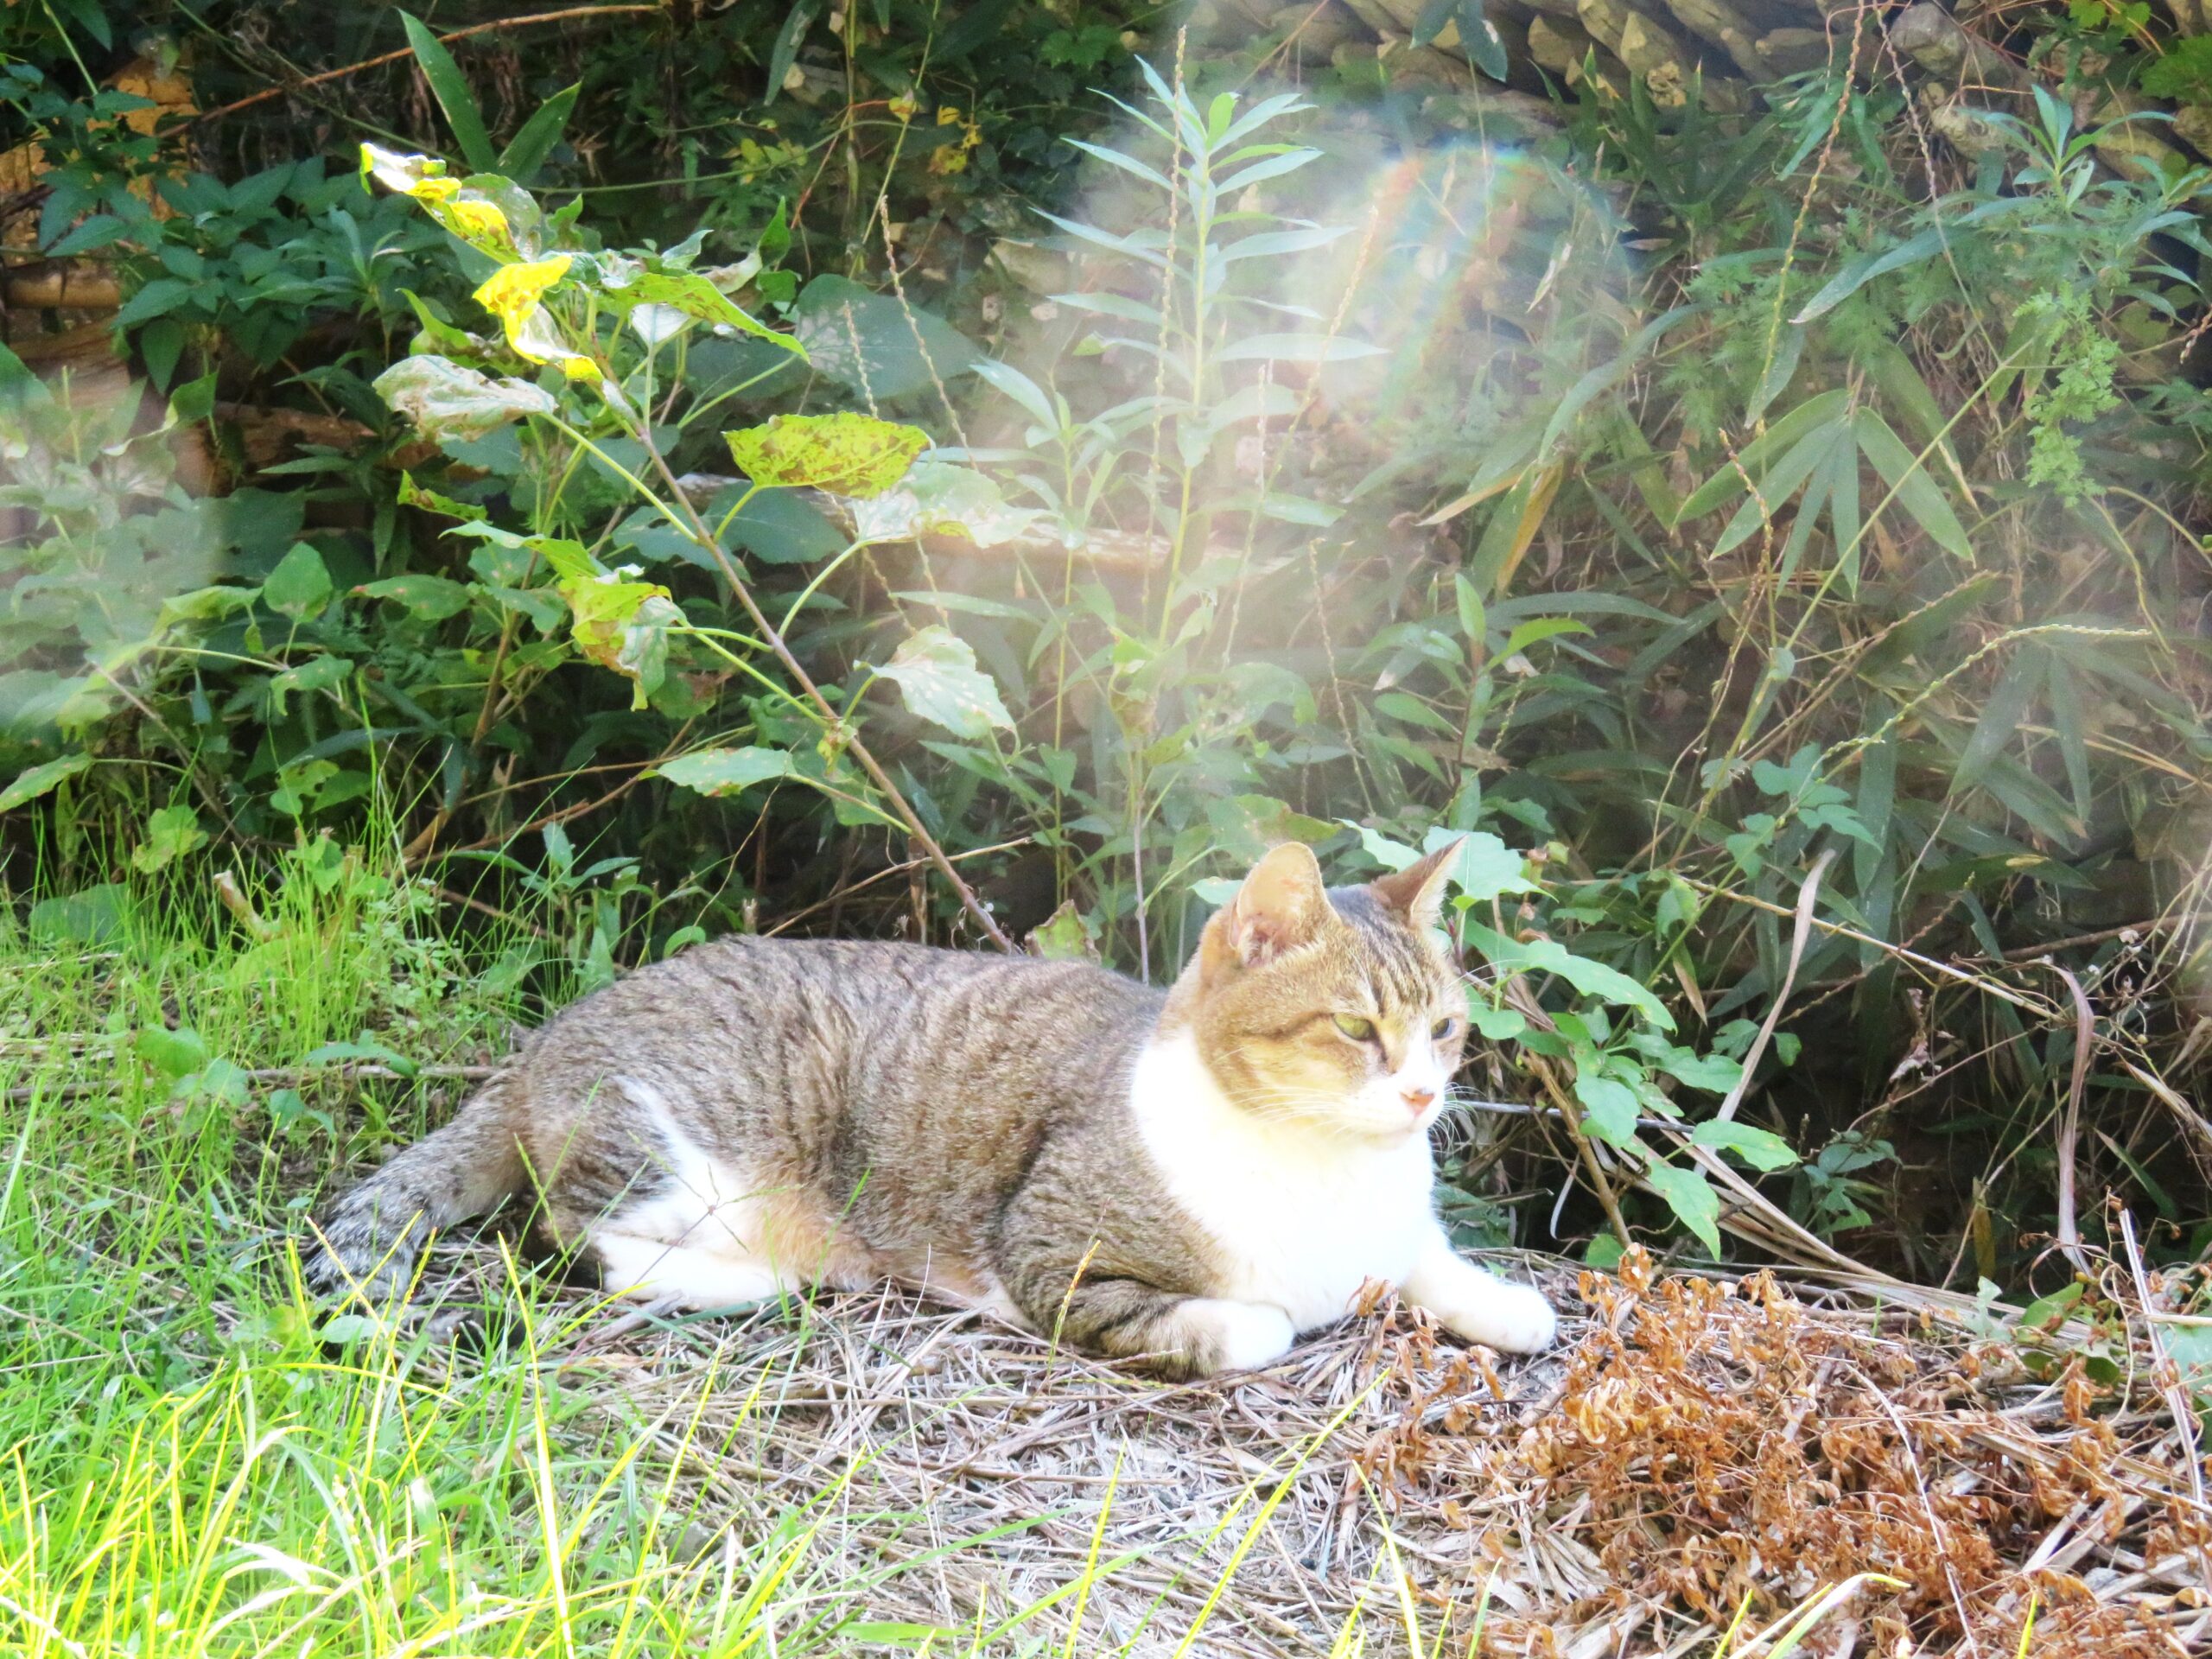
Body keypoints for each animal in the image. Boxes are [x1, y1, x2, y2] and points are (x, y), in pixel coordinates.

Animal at [307, 844, 1557, 1380]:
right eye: (1355, 1028)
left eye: (1446, 1029)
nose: (1423, 1093)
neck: (1327, 1172)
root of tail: (542, 1040)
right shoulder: (1054, 1257)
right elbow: (1251, 1326)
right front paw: (1264, 1319)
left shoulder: (1396, 1234)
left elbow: (1438, 1264)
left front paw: (1506, 1300)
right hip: (696, 1152)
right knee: (578, 1235)